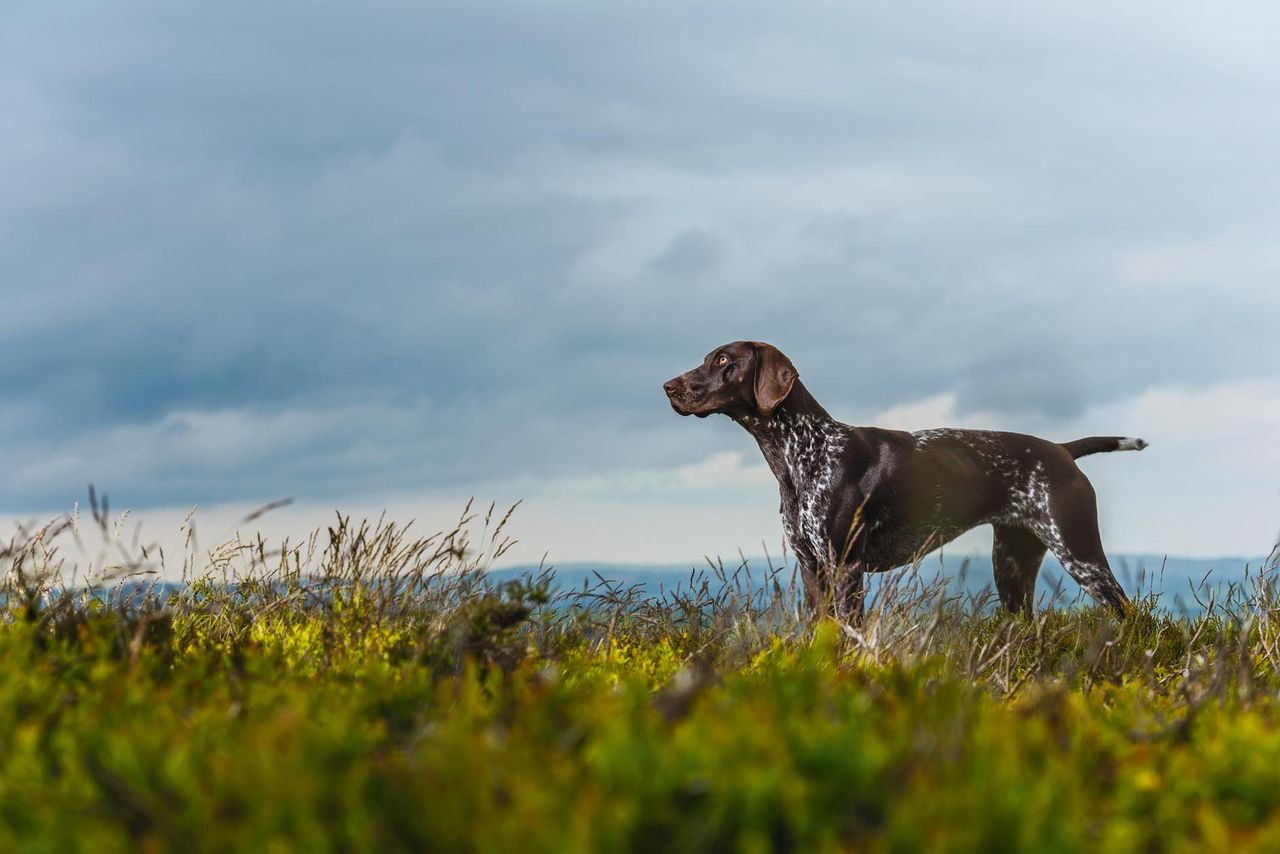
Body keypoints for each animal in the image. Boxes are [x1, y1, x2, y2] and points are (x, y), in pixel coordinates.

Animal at [665, 343, 1146, 622]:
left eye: (723, 361)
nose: (668, 386)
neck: (804, 450)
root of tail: (1062, 449)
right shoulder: (812, 569)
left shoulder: (846, 569)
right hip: (1012, 564)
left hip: (1081, 554)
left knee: (1131, 615)